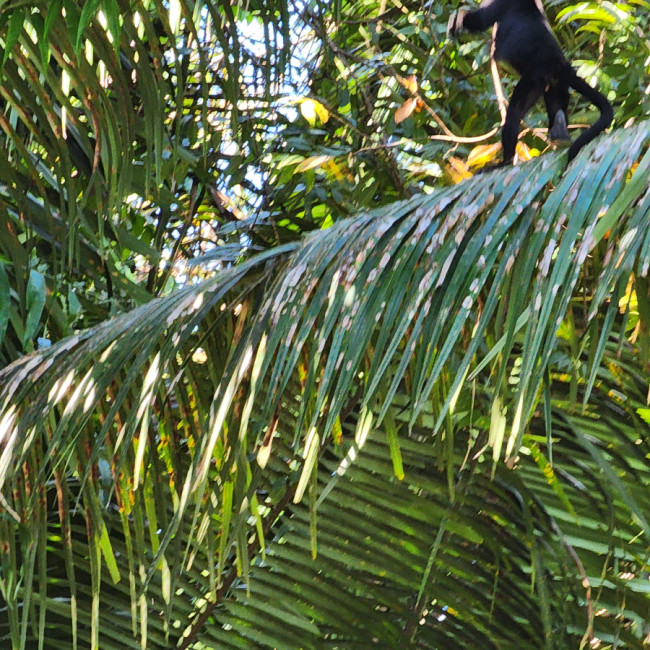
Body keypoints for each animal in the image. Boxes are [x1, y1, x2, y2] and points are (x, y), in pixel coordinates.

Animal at [448, 0, 612, 165]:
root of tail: (559, 64)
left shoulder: (502, 4)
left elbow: (478, 21)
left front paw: (456, 20)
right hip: (555, 82)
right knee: (555, 103)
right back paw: (559, 130)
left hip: (532, 80)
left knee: (514, 111)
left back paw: (506, 160)